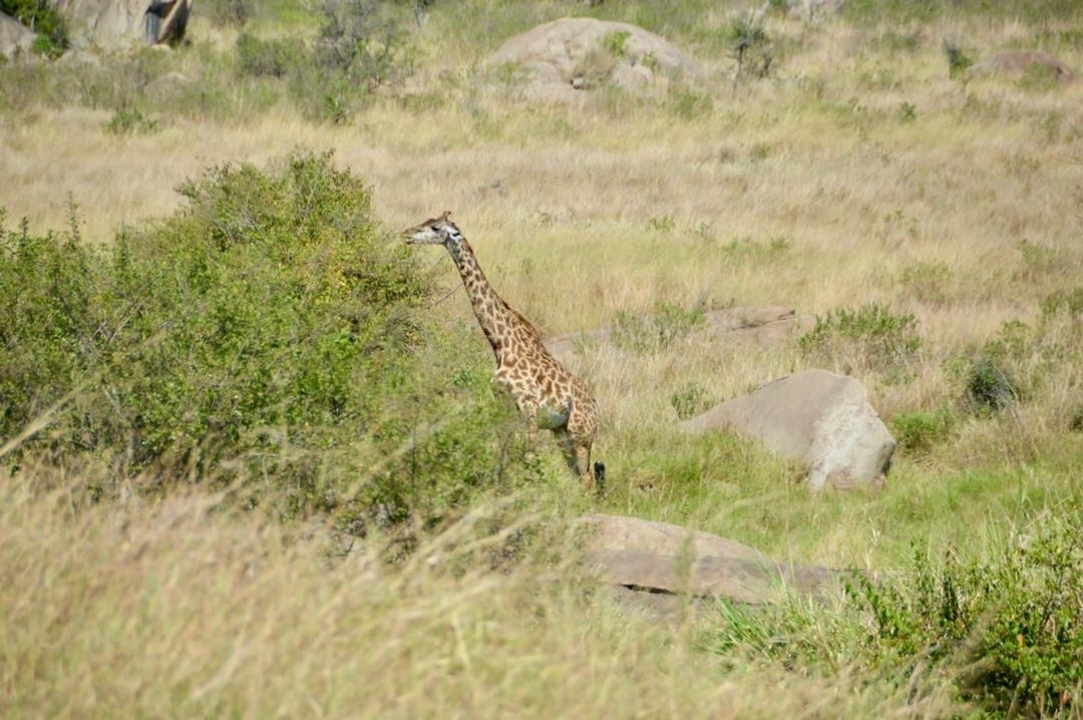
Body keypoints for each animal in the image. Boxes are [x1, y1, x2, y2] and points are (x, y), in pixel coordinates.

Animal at [401, 211, 604, 493]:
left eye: (435, 227)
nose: (406, 234)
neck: (501, 343)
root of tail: (596, 408)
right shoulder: (504, 405)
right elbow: (504, 454)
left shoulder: (528, 407)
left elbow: (528, 457)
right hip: (560, 432)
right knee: (577, 475)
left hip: (579, 433)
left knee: (586, 478)